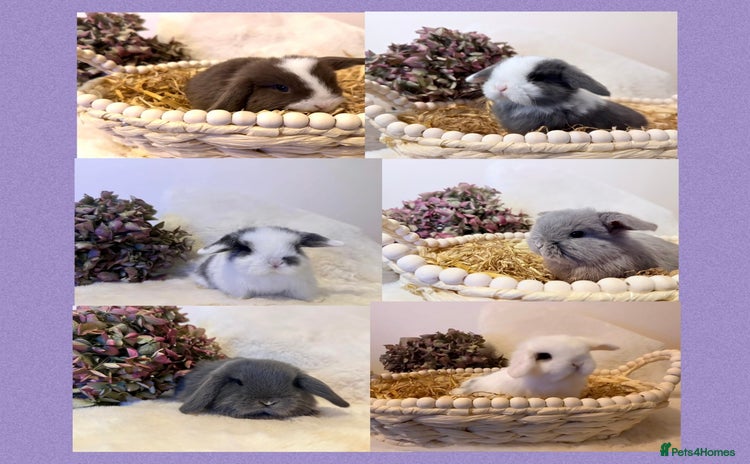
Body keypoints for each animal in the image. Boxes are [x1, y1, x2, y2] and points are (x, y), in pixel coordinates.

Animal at [192, 226, 343, 300]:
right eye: (246, 249)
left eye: (296, 246)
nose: (275, 262)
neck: (271, 278)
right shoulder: (239, 287)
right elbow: (242, 295)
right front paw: (240, 300)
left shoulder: (301, 287)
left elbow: (306, 296)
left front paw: (318, 300)